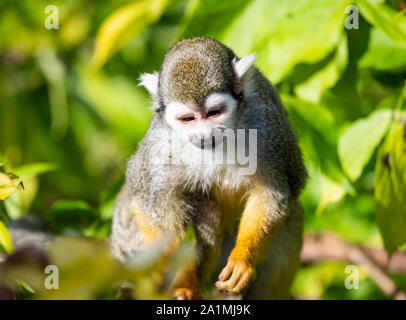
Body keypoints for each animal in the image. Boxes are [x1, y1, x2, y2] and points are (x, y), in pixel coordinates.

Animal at [109, 37, 306, 300]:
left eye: (213, 113)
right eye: (187, 119)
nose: (204, 135)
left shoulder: (267, 125)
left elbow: (278, 191)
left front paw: (243, 261)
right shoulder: (160, 141)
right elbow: (145, 197)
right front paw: (170, 271)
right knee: (204, 207)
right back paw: (184, 286)